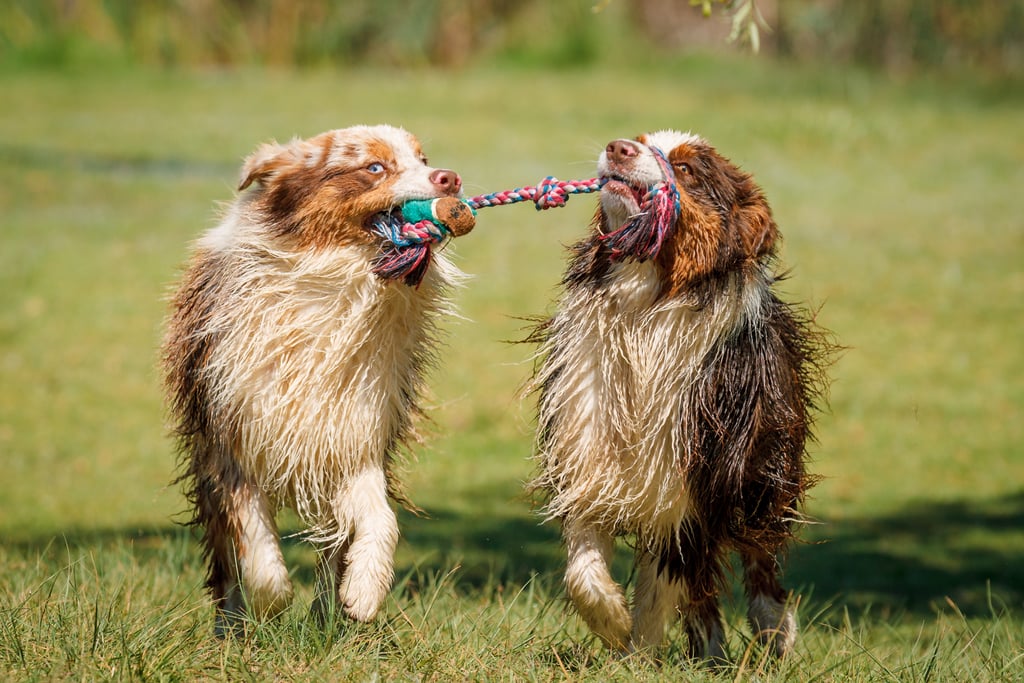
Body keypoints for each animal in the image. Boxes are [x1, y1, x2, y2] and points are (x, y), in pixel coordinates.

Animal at [163, 124, 468, 634]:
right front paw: (270, 603)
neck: (341, 284)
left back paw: (329, 611)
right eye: (374, 167)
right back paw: (231, 625)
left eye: (424, 159)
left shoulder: (353, 435)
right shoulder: (233, 439)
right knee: (226, 559)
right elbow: (254, 542)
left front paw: (363, 591)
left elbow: (381, 521)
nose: (450, 178)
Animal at [532, 129, 827, 663]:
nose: (618, 147)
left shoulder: (686, 482)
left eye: (687, 170)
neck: (645, 303)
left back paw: (774, 634)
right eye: (641, 140)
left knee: (759, 557)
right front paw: (613, 624)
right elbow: (583, 570)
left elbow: (663, 585)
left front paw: (638, 656)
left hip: (763, 470)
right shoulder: (588, 450)